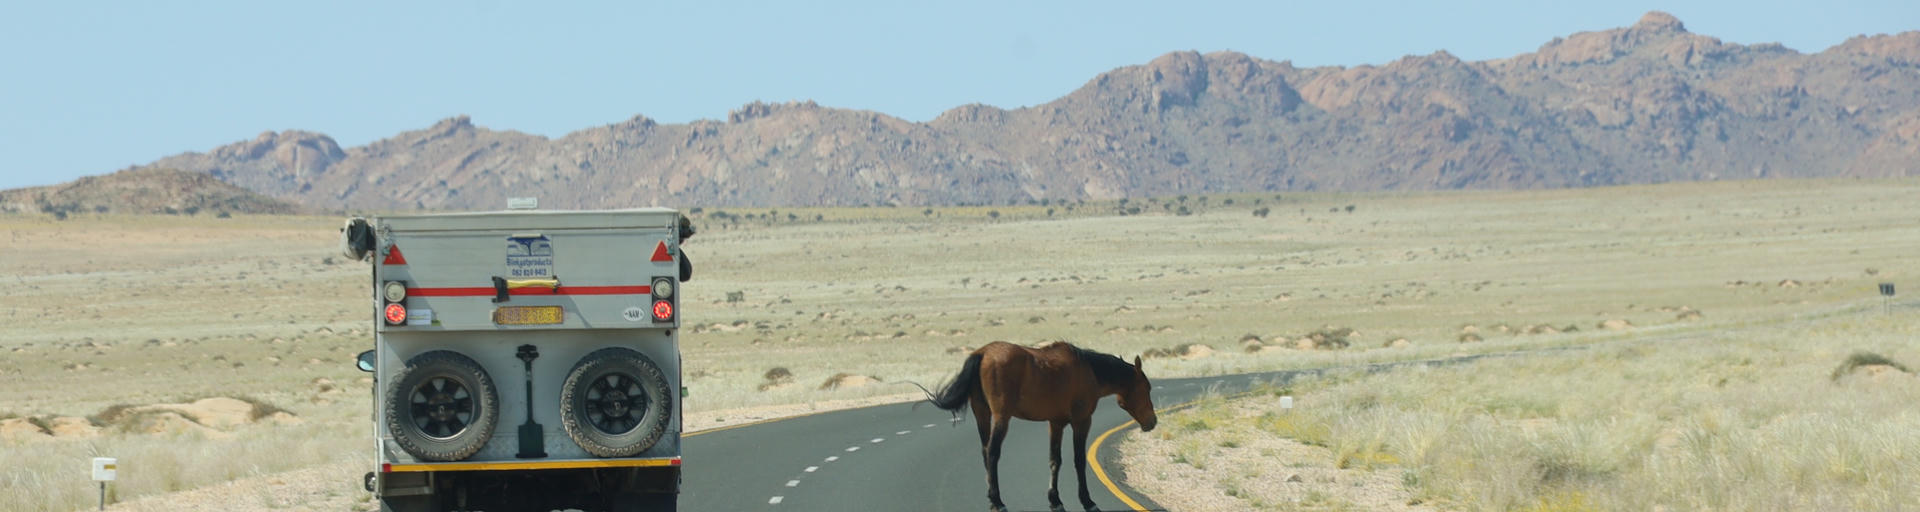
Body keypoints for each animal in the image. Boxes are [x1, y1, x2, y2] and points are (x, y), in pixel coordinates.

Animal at [926, 341, 1157, 512]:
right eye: (1147, 387)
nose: (1152, 422)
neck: (1090, 371)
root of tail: (983, 353)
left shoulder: (1056, 424)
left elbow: (1055, 461)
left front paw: (1055, 501)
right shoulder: (1081, 422)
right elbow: (1079, 460)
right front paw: (1087, 501)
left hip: (982, 414)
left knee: (985, 452)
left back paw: (992, 499)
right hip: (1001, 418)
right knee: (992, 453)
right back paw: (998, 502)